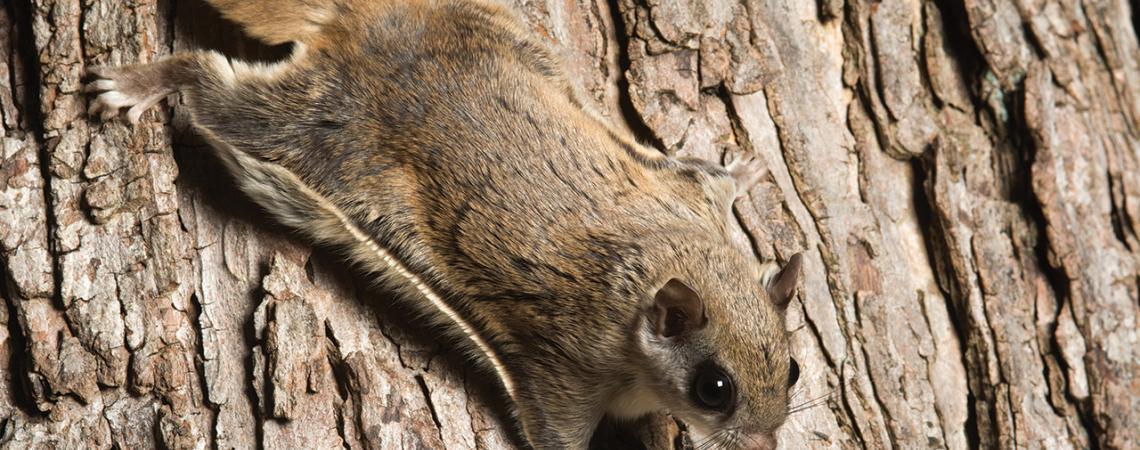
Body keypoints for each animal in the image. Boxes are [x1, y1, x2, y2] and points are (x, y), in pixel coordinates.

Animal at [86, 0, 802, 446]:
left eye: (793, 370)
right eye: (715, 389)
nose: (765, 443)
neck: (661, 261)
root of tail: (358, 25)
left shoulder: (686, 198)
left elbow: (707, 180)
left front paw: (743, 172)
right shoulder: (565, 369)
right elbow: (554, 431)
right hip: (310, 126)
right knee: (211, 84)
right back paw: (145, 81)